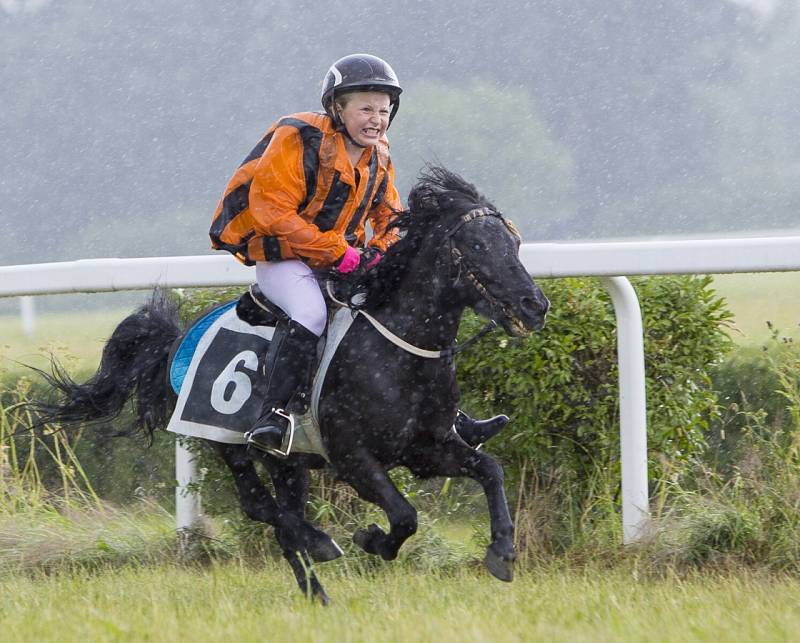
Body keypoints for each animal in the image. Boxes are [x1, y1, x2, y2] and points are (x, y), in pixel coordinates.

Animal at [29, 166, 552, 604]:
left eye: (514, 243)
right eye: (478, 246)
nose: (535, 305)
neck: (397, 351)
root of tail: (176, 339)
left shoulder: (428, 448)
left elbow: (490, 470)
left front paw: (502, 553)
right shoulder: (353, 457)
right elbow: (404, 516)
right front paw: (370, 538)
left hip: (290, 460)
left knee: (284, 512)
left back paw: (316, 589)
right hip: (228, 442)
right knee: (260, 506)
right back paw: (319, 542)